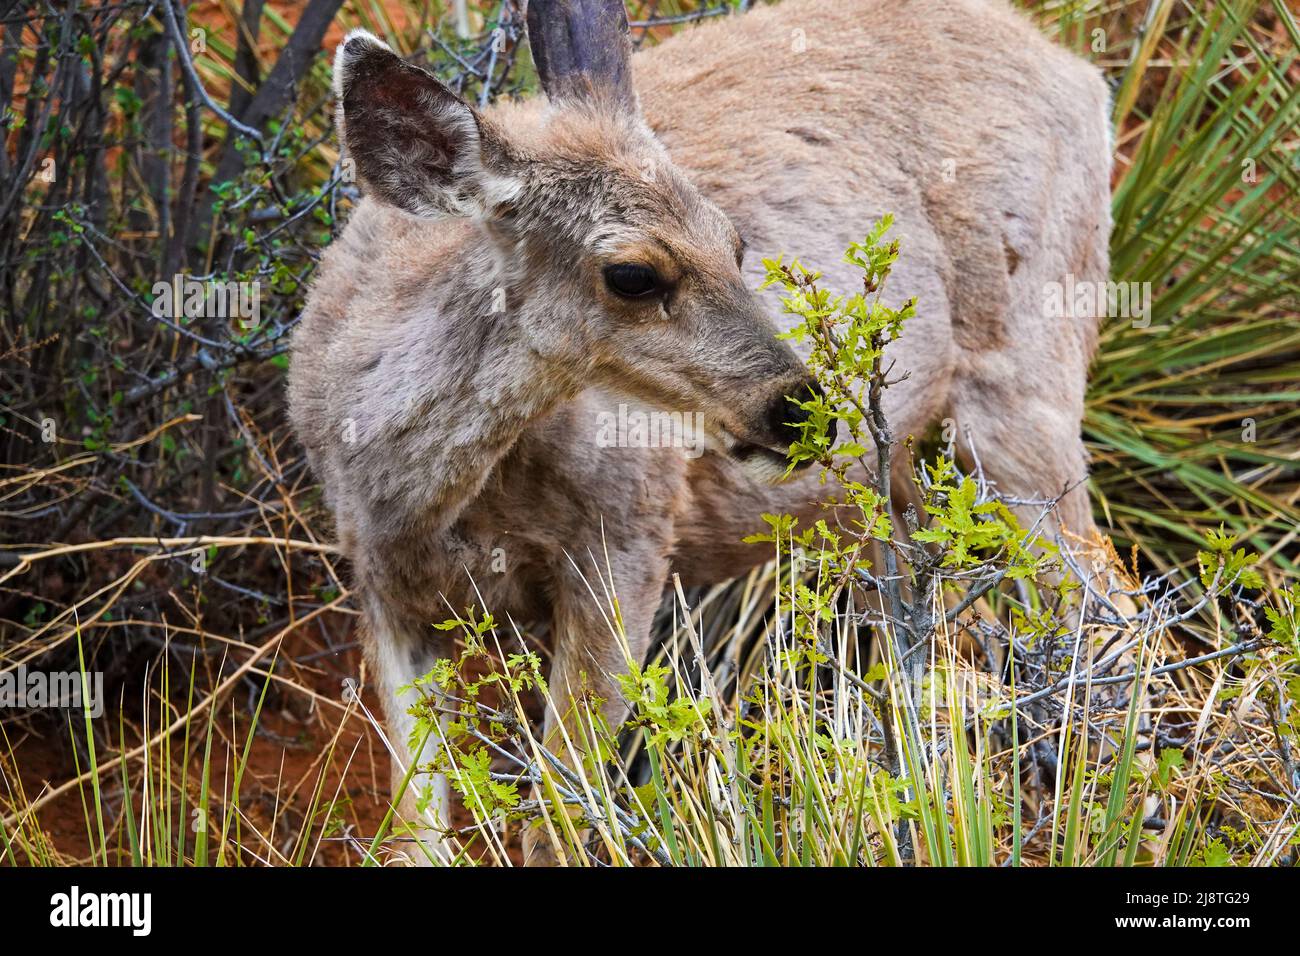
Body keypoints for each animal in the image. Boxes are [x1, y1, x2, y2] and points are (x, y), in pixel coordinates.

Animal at [288, 0, 1118, 864]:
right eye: (632, 274)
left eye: (735, 242)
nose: (802, 407)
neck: (422, 494)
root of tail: (1079, 73)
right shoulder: (382, 583)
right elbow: (413, 828)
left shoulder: (627, 540)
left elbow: (559, 817)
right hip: (888, 491)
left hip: (1024, 377)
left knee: (1102, 603)